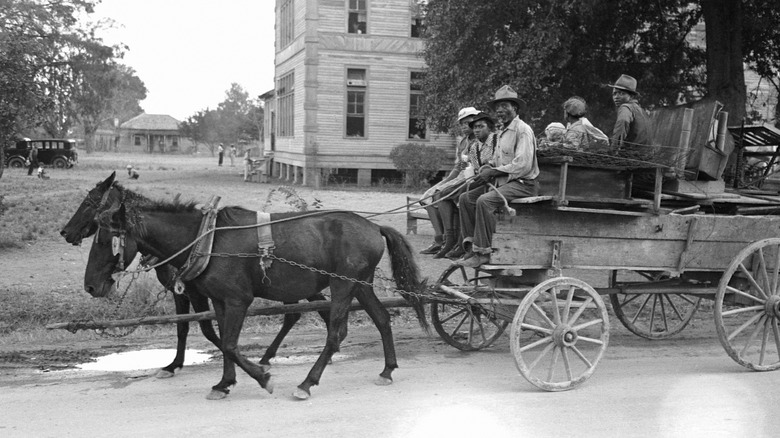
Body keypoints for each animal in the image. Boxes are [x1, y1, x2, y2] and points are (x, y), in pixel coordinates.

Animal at [74, 173, 426, 398]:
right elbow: (220, 338)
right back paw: (387, 369)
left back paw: (307, 383)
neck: (205, 240)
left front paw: (262, 377)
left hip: (342, 285)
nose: (90, 286)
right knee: (381, 318)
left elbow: (229, 343)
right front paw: (224, 383)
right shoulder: (217, 300)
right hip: (360, 283)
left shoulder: (237, 299)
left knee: (336, 333)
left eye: (104, 239)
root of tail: (374, 226)